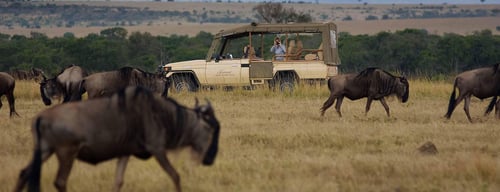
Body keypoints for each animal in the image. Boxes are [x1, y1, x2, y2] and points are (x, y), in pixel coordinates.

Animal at [13, 86, 220, 192]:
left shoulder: (125, 152)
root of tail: (41, 118)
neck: (162, 113)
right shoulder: (157, 148)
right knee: (60, 181)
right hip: (66, 153)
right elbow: (175, 175)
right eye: (210, 129)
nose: (210, 160)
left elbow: (118, 181)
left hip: (45, 150)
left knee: (24, 173)